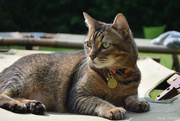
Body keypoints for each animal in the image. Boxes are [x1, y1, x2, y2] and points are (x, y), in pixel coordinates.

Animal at [0, 12, 150, 119]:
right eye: (89, 44)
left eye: (105, 45)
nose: (91, 56)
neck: (117, 75)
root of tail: (6, 69)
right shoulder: (77, 96)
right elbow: (99, 101)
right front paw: (113, 108)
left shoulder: (131, 92)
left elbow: (131, 97)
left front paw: (139, 103)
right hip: (21, 78)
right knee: (3, 94)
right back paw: (16, 104)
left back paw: (33, 105)